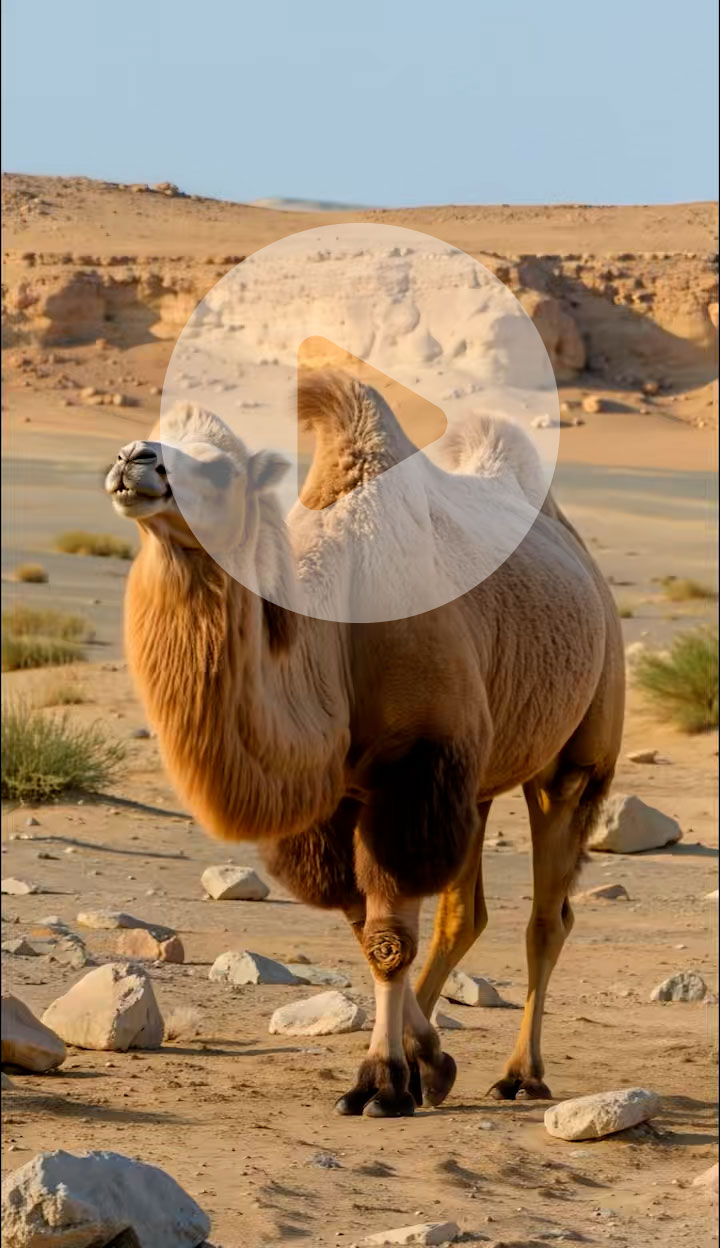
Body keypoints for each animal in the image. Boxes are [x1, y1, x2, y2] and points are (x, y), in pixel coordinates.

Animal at [105, 371, 624, 1117]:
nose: (133, 460)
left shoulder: (415, 766)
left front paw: (382, 1079)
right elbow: (361, 922)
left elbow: (386, 937)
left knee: (547, 918)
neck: (339, 631)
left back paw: (522, 1075)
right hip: (478, 779)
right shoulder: (343, 794)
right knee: (463, 915)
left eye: (222, 466)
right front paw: (427, 1062)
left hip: (577, 754)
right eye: (156, 432)